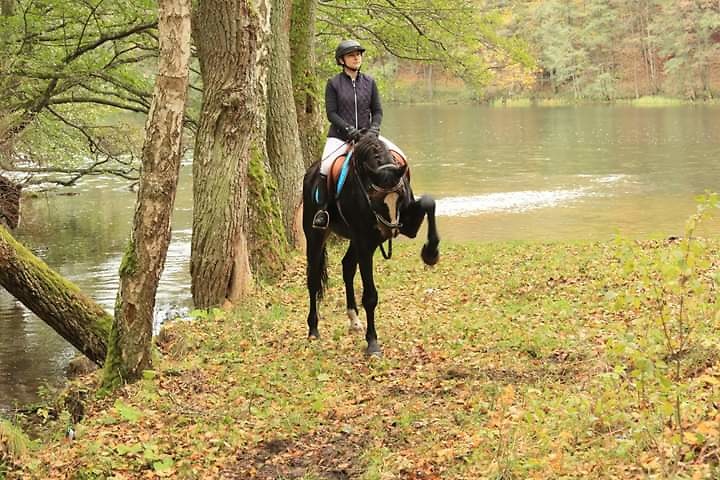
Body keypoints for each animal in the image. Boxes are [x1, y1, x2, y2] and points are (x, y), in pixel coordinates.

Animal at [302, 134, 438, 356]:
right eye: (375, 199)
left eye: (400, 195)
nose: (390, 229)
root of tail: (311, 172)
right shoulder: (365, 244)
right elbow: (370, 297)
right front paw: (373, 344)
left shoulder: (406, 225)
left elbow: (429, 202)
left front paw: (431, 253)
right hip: (316, 235)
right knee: (313, 278)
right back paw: (313, 330)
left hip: (354, 241)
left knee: (347, 267)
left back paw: (354, 320)